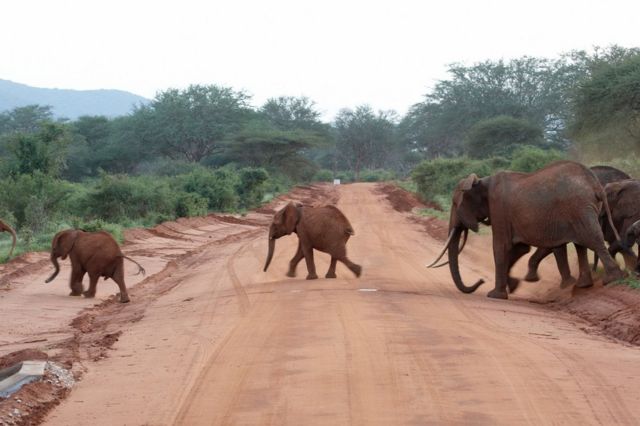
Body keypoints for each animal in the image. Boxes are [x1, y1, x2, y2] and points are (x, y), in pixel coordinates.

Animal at [428, 161, 628, 300]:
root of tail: (595, 184)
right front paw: (513, 286)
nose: (480, 281)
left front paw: (495, 295)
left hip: (579, 207)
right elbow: (518, 249)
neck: (482, 180)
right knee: (581, 244)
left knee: (592, 239)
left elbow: (501, 247)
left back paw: (613, 279)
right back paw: (583, 285)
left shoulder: (499, 209)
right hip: (579, 210)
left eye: (455, 204)